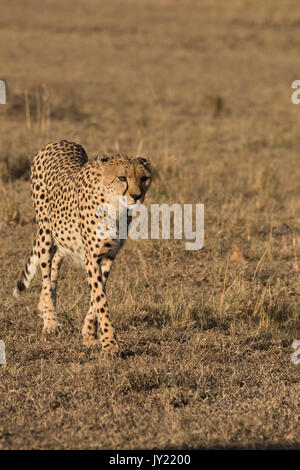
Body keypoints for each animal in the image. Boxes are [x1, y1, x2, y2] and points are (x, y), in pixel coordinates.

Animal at [12, 141, 151, 354]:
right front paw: (110, 344)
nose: (136, 196)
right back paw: (50, 321)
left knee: (55, 265)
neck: (114, 205)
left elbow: (97, 297)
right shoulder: (92, 257)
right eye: (122, 178)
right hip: (45, 233)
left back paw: (45, 308)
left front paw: (89, 334)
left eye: (144, 178)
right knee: (45, 276)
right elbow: (100, 299)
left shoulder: (108, 256)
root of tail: (57, 142)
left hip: (61, 240)